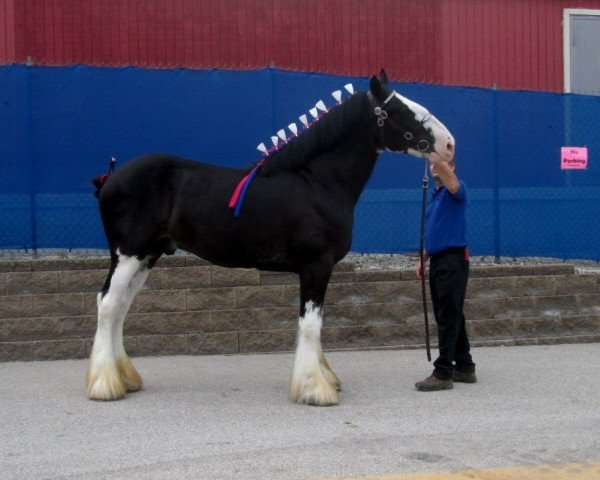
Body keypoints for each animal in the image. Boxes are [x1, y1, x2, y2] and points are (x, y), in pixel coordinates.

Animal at [88, 68, 454, 404]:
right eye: (403, 110)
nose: (449, 145)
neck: (320, 183)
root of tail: (110, 178)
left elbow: (316, 324)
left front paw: (323, 379)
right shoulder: (316, 266)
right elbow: (310, 324)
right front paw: (315, 389)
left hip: (146, 256)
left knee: (121, 307)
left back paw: (125, 378)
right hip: (128, 254)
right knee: (108, 304)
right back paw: (105, 385)